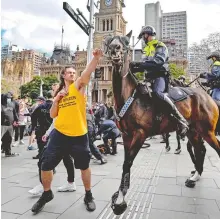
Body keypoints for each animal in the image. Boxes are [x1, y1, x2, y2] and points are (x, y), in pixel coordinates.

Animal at [104, 31, 220, 216]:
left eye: (125, 42)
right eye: (109, 41)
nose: (115, 49)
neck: (130, 97)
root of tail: (208, 97)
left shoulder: (140, 134)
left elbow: (128, 163)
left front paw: (120, 200)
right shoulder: (126, 136)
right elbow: (125, 163)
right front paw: (120, 193)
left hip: (208, 132)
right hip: (193, 131)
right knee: (200, 150)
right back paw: (194, 177)